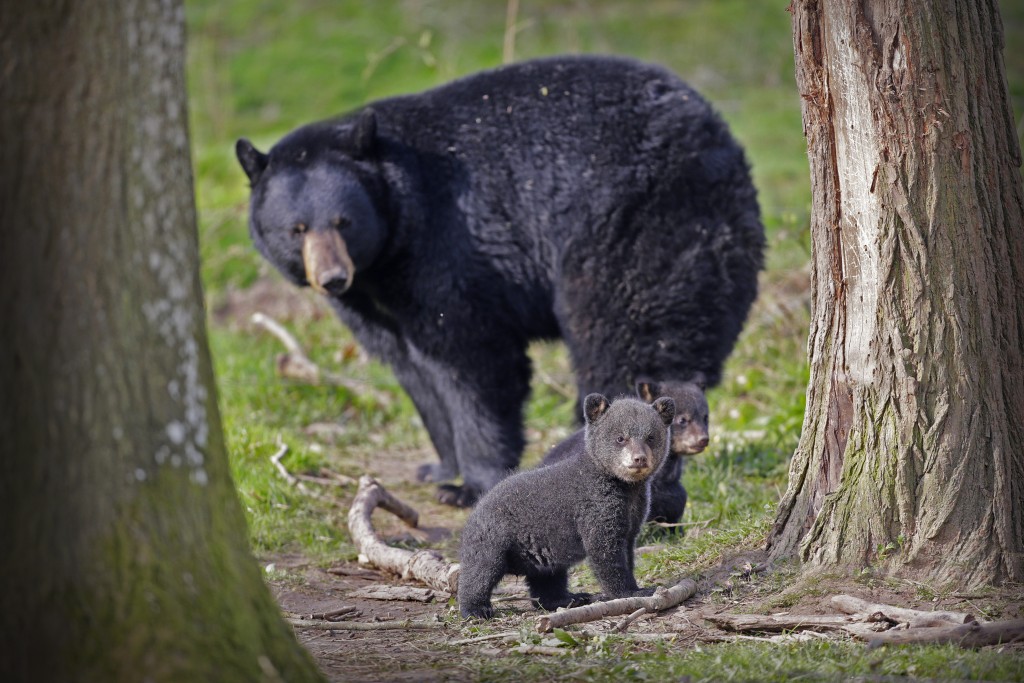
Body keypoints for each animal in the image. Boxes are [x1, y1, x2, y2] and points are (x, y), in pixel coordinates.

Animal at [235, 56, 765, 507]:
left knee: (628, 339)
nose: (332, 278)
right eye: (296, 228)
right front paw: (438, 467)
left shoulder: (449, 249)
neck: (392, 243)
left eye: (343, 221)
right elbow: (414, 371)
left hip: (641, 228)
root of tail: (720, 139)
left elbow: (471, 362)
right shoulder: (377, 301)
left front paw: (468, 485)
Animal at [458, 395, 671, 618]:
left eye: (651, 437)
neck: (626, 490)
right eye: (621, 438)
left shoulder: (633, 518)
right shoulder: (596, 510)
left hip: (542, 550)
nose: (639, 459)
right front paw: (630, 591)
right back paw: (476, 609)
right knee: (481, 571)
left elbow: (627, 552)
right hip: (493, 540)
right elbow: (605, 553)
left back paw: (571, 598)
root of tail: (475, 510)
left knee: (548, 579)